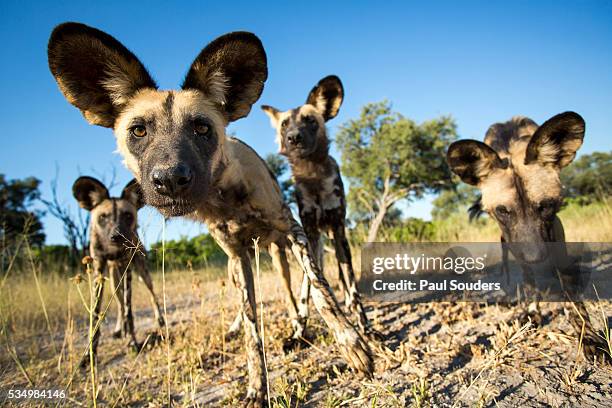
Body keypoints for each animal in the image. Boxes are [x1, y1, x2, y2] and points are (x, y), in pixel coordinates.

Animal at [260, 76, 380, 342]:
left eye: (310, 121)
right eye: (285, 125)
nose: (293, 137)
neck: (312, 174)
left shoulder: (338, 230)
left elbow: (353, 288)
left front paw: (366, 329)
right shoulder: (309, 235)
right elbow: (307, 290)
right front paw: (298, 333)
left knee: (345, 281)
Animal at [448, 112, 608, 364]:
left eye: (545, 206)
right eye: (503, 211)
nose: (536, 258)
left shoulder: (554, 232)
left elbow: (569, 292)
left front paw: (588, 335)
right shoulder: (513, 242)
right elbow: (530, 281)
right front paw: (532, 311)